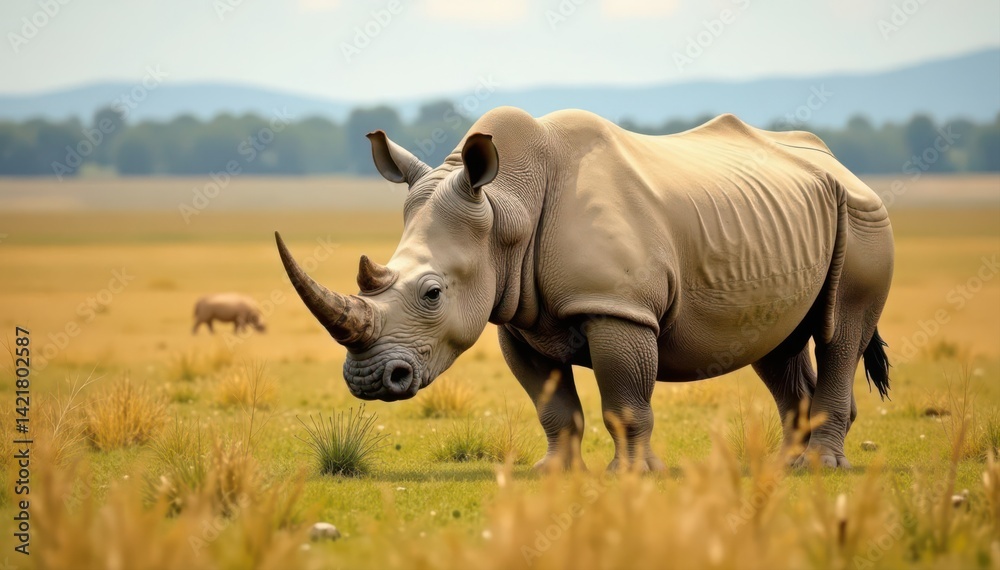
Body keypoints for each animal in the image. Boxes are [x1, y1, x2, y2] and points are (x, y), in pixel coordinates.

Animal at [275, 107, 893, 471]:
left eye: (432, 294)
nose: (368, 382)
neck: (506, 207)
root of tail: (842, 165)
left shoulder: (619, 308)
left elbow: (624, 402)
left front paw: (633, 476)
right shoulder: (516, 316)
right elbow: (553, 406)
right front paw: (554, 474)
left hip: (865, 217)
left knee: (841, 334)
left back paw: (819, 468)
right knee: (776, 345)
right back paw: (785, 468)